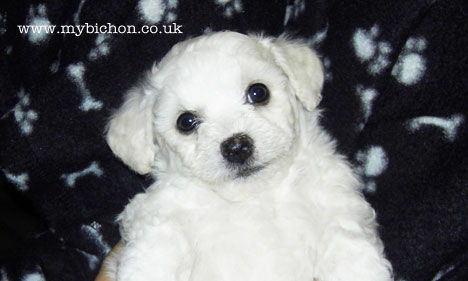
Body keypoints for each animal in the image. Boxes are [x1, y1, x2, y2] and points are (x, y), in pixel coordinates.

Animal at [104, 31, 394, 280]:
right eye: (185, 122)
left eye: (258, 92)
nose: (236, 147)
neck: (254, 199)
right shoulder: (161, 218)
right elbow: (155, 253)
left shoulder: (335, 207)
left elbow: (350, 251)